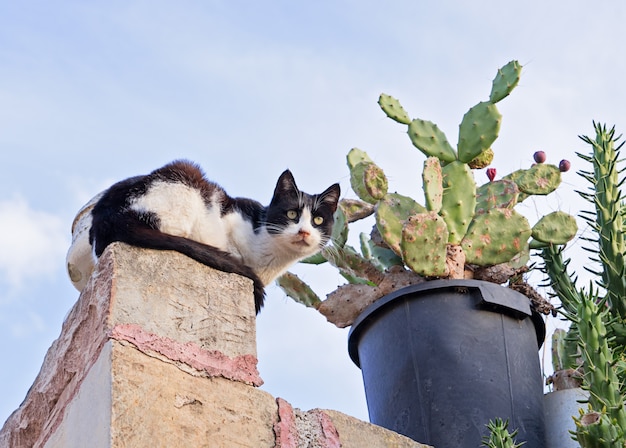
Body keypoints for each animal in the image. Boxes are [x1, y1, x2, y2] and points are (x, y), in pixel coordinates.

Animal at [67, 159, 338, 314]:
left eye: (318, 221)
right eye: (292, 214)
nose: (304, 231)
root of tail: (106, 217)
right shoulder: (230, 215)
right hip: (184, 183)